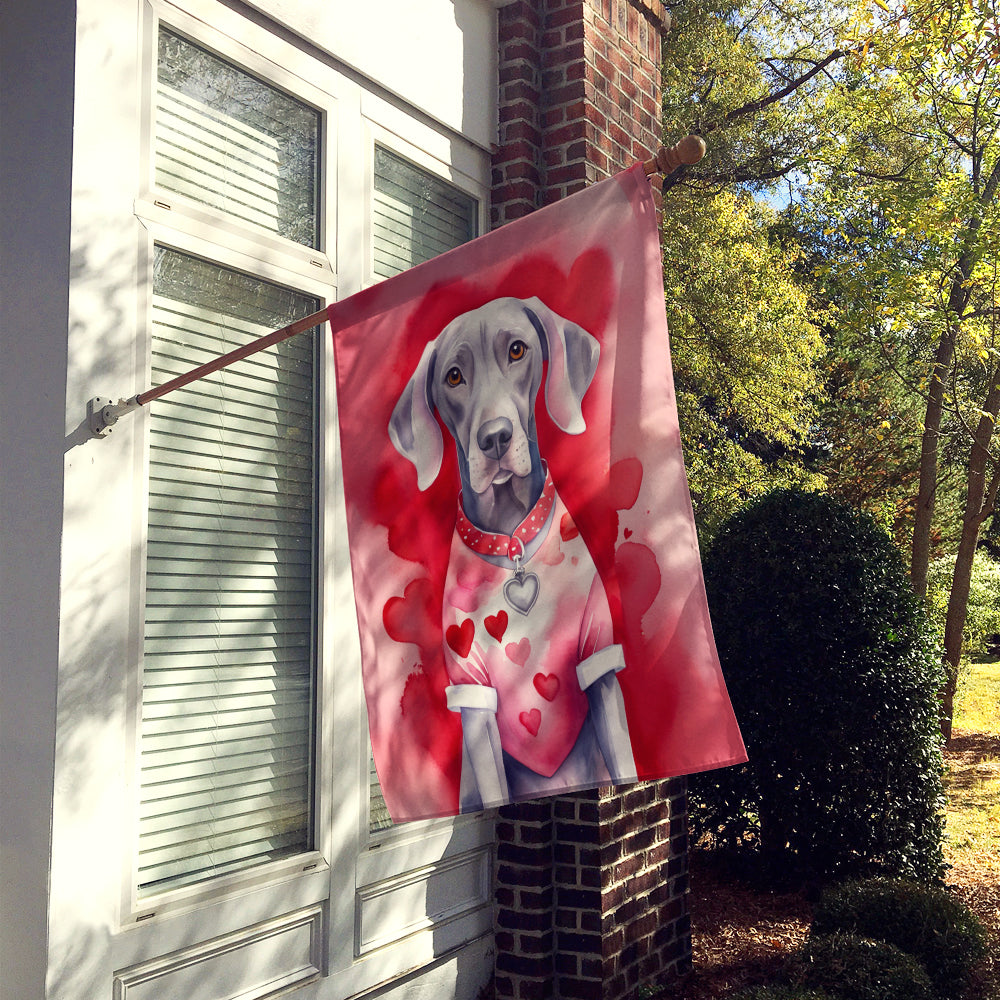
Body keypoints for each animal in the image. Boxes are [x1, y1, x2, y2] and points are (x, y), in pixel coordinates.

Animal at [388, 296, 632, 812]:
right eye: (453, 376)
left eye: (517, 350)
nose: (495, 437)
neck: (511, 541)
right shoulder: (473, 690)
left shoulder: (598, 658)